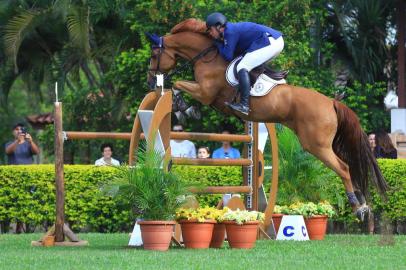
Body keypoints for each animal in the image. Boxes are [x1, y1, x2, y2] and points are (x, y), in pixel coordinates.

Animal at [146, 18, 386, 219]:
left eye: (153, 55)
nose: (150, 80)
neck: (208, 56)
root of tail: (331, 102)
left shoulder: (205, 93)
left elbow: (178, 84)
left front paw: (182, 106)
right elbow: (180, 86)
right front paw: (185, 109)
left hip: (316, 145)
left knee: (344, 168)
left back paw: (358, 208)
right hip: (326, 144)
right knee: (351, 167)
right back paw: (364, 204)